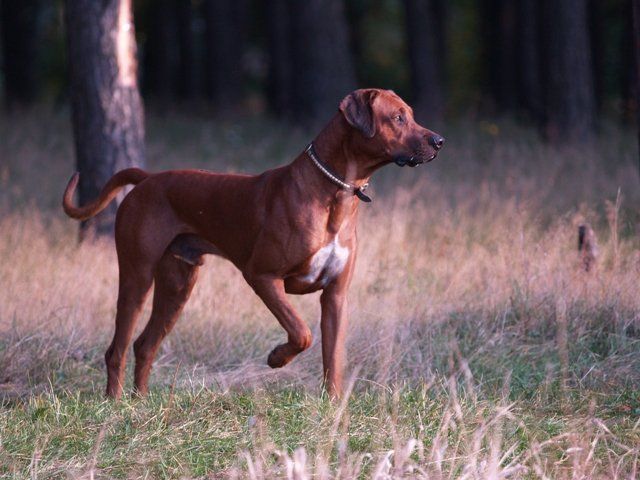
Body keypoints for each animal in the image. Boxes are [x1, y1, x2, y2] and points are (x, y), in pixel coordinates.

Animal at [62, 88, 442, 400]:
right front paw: (277, 358)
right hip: (137, 277)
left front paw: (333, 407)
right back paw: (115, 405)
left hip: (177, 286)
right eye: (398, 118)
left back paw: (140, 402)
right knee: (117, 349)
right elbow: (301, 332)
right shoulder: (262, 277)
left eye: (411, 114)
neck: (333, 193)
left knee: (145, 345)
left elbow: (333, 358)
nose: (439, 140)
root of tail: (147, 179)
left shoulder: (336, 295)